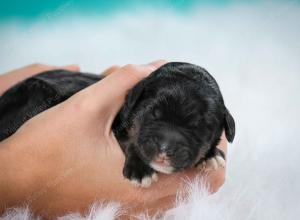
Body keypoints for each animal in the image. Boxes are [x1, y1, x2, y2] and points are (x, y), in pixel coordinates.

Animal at [0, 62, 234, 187]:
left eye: (199, 126)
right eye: (152, 113)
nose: (165, 148)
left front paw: (211, 155)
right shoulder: (120, 124)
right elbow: (131, 140)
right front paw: (140, 170)